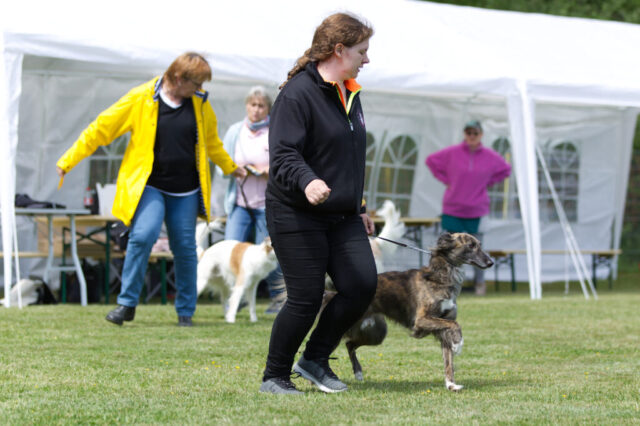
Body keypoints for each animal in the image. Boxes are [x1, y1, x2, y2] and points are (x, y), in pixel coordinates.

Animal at [337, 232, 494, 391]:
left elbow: (448, 362)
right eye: (470, 245)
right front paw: (458, 344)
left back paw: (358, 372)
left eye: (479, 245)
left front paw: (451, 385)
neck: (440, 277)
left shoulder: (443, 328)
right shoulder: (421, 320)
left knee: (349, 344)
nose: (490, 263)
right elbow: (456, 325)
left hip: (376, 333)